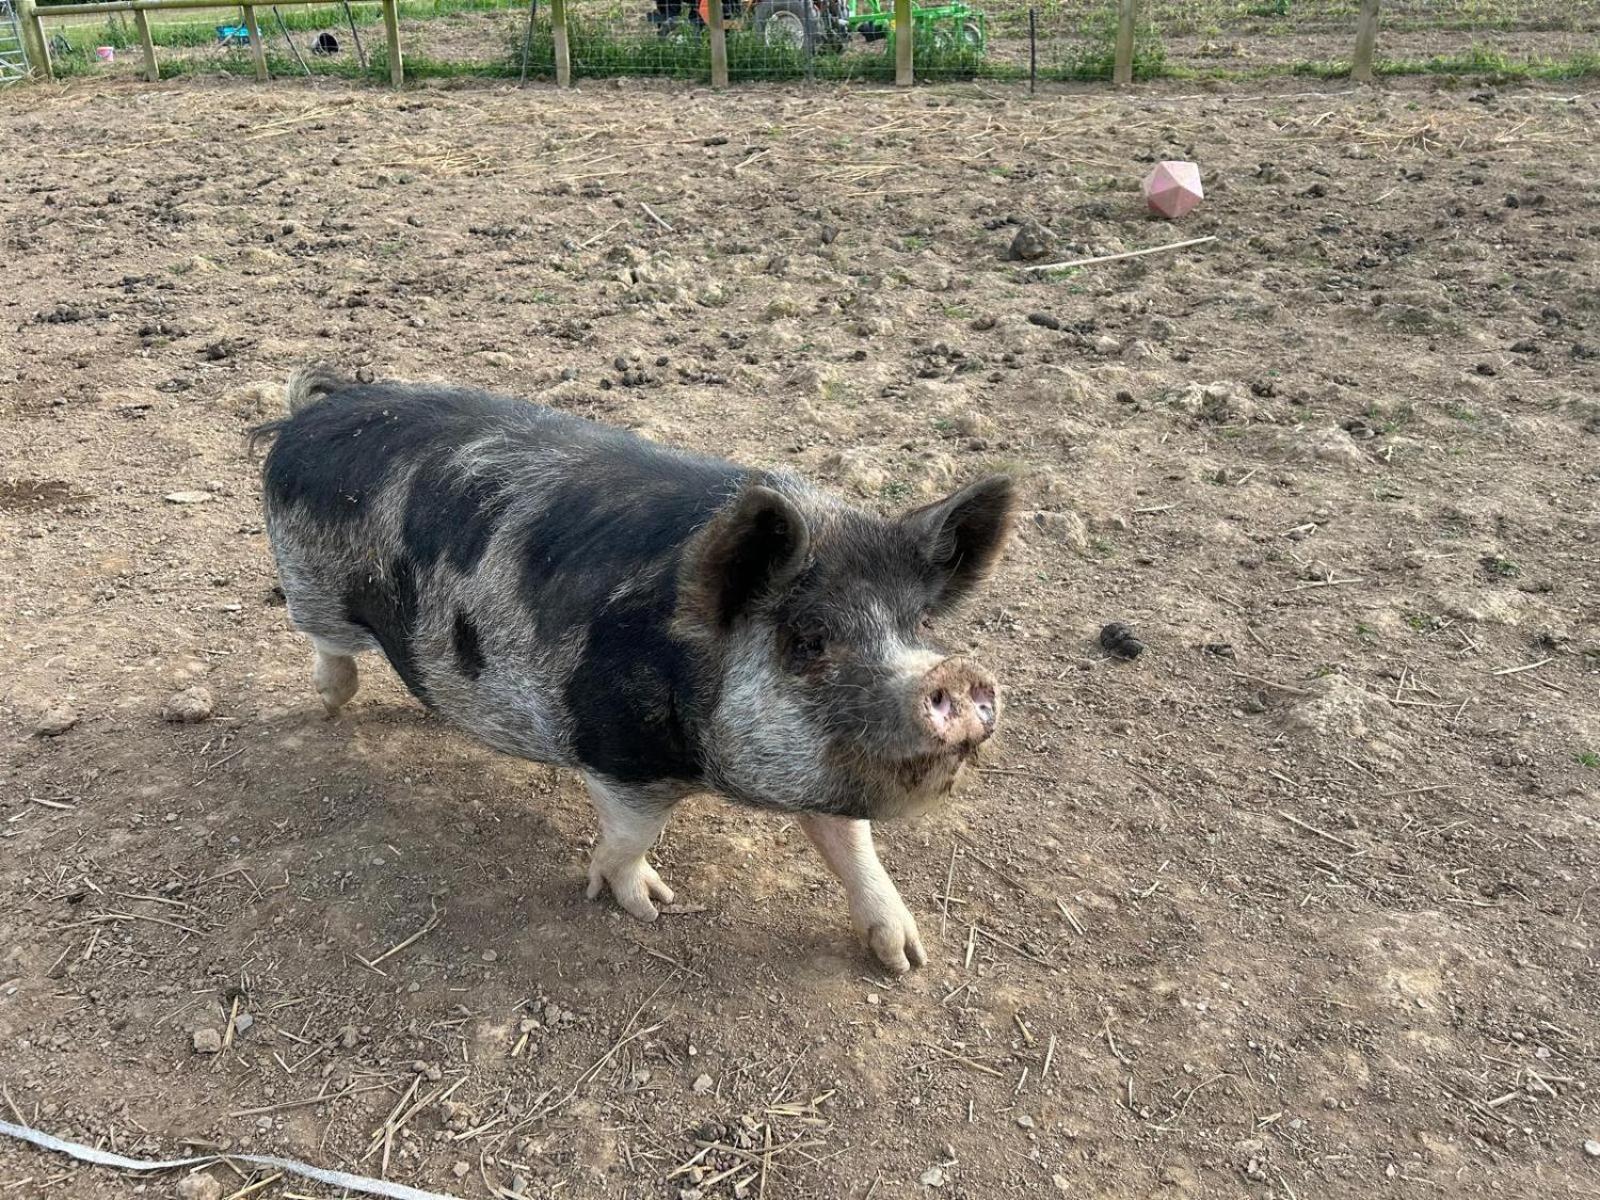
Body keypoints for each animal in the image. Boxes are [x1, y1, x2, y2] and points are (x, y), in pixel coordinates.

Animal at [259, 369, 1011, 979]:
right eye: (808, 639)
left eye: (920, 624)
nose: (957, 674)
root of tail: (309, 415)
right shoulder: (617, 752)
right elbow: (633, 837)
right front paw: (649, 906)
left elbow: (851, 839)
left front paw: (906, 959)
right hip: (313, 582)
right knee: (326, 644)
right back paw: (330, 704)